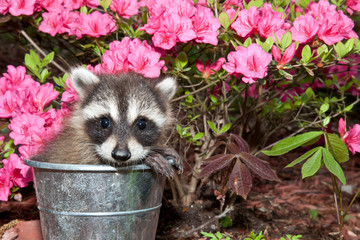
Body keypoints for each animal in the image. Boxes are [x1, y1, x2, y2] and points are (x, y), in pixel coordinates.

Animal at [32, 67, 181, 178]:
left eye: (142, 124)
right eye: (104, 122)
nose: (120, 155)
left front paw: (157, 150)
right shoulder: (73, 149)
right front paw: (148, 157)